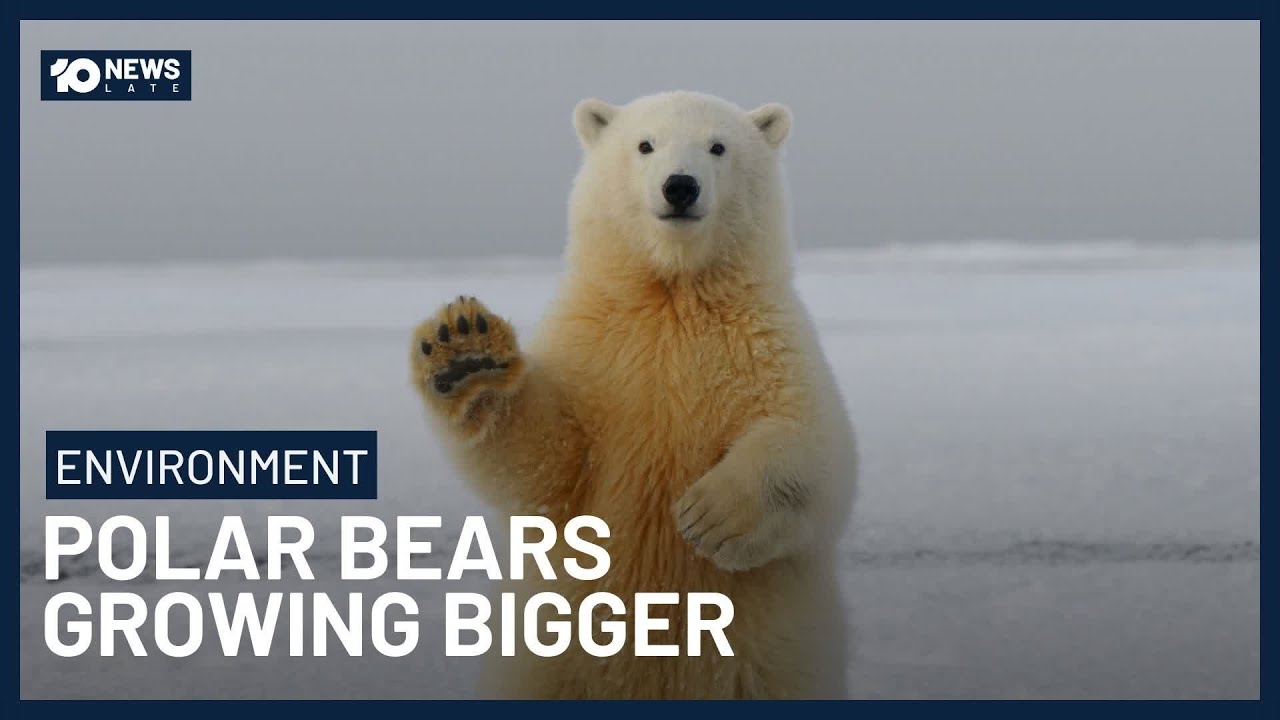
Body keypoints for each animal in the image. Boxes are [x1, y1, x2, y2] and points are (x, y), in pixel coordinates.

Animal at [410, 91, 857, 699]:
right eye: (645, 144)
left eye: (718, 146)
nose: (680, 186)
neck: (671, 295)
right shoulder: (595, 352)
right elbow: (545, 463)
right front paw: (466, 352)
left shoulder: (766, 344)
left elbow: (813, 444)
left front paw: (710, 515)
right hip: (547, 668)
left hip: (770, 670)